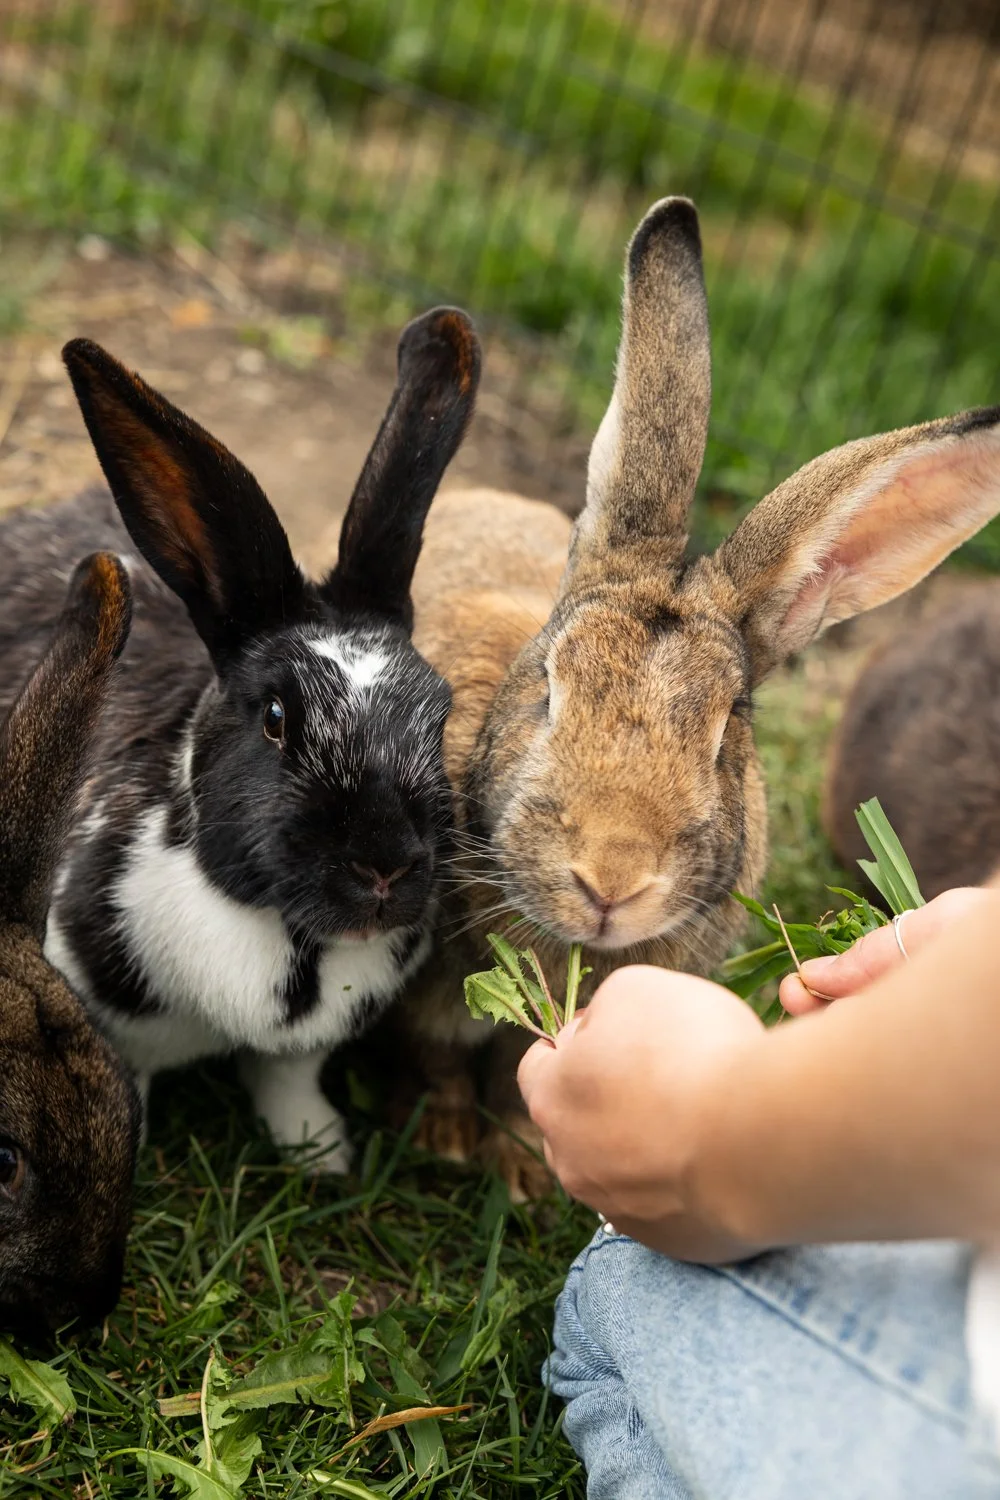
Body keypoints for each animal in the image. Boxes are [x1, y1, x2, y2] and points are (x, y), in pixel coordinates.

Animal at [0, 306, 480, 1175]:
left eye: (441, 714)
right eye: (277, 717)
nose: (385, 864)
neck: (288, 938)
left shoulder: (307, 1045)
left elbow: (288, 1077)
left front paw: (319, 1155)